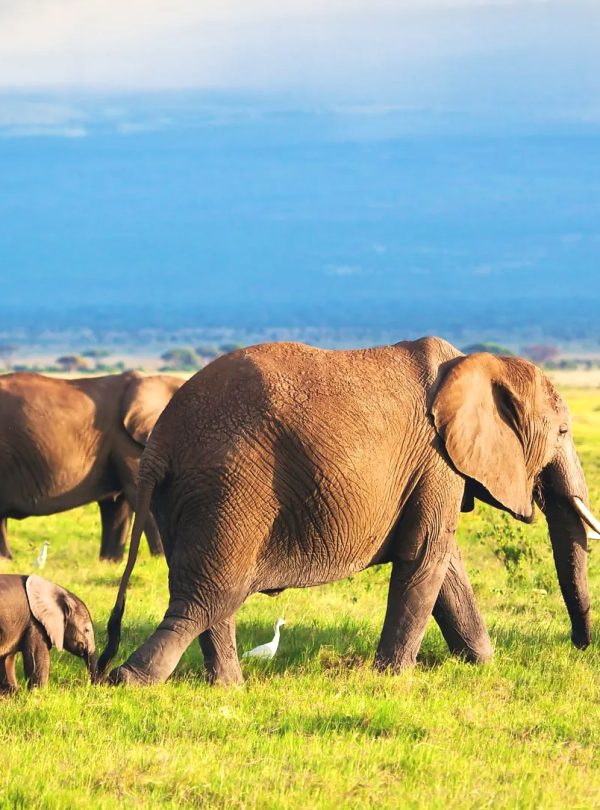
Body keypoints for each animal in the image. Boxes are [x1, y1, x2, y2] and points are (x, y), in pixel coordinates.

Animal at [98, 337, 598, 686]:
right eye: (563, 431)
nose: (580, 644)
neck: (475, 363)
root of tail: (161, 439)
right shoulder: (437, 462)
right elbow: (426, 557)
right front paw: (391, 678)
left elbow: (447, 565)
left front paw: (481, 664)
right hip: (229, 490)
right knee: (206, 597)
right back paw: (130, 681)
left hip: (191, 497)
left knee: (213, 600)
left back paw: (228, 688)